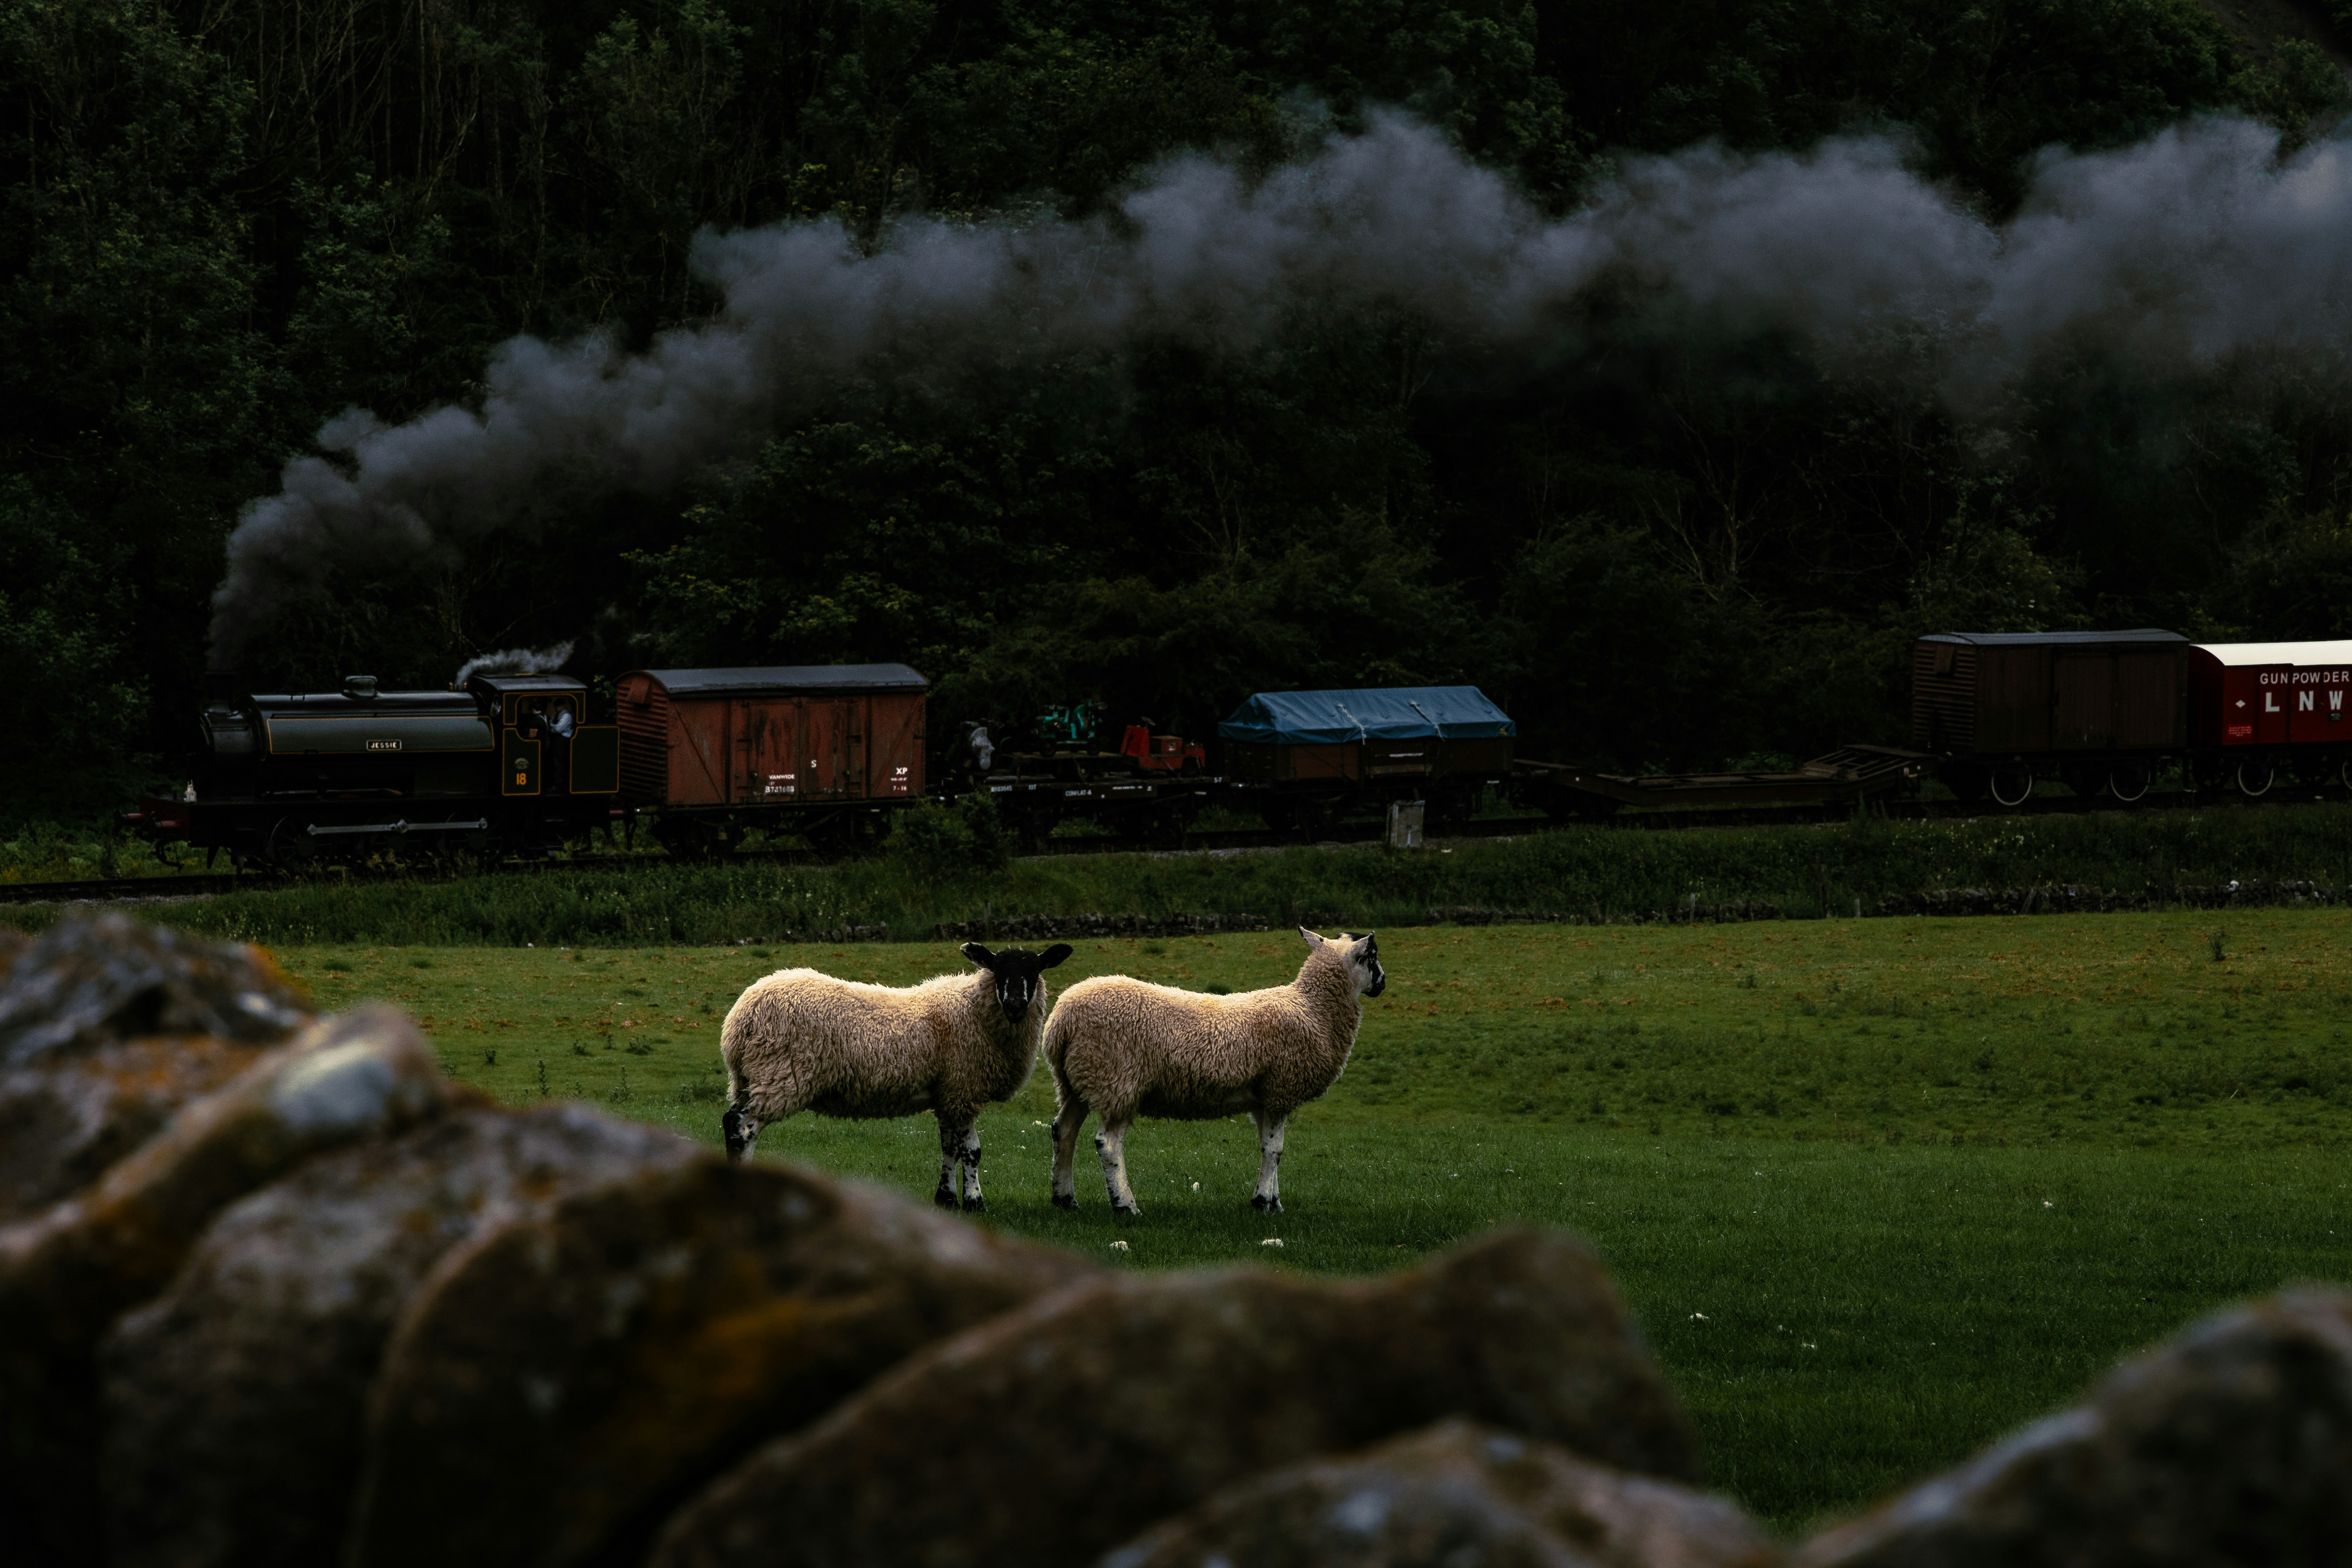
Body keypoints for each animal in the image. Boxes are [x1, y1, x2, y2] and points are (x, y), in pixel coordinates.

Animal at [719, 941, 1072, 1211]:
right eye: (998, 971)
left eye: (1035, 971)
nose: (1016, 1004)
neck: (975, 1011)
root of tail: (739, 1019)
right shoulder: (963, 1089)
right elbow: (971, 1152)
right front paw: (975, 1202)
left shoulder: (946, 1094)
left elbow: (949, 1148)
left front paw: (947, 1199)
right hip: (779, 1076)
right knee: (743, 1128)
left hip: (750, 1079)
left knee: (731, 1121)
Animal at [1041, 927, 1385, 1215]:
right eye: (1372, 956)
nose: (1382, 983)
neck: (1313, 1009)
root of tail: (1062, 1019)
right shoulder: (1281, 1089)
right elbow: (1276, 1150)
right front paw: (1264, 1202)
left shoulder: (1264, 1099)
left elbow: (1267, 1147)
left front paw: (1273, 1201)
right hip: (1117, 1080)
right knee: (1108, 1145)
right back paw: (1126, 1205)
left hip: (1076, 1080)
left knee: (1064, 1131)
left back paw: (1064, 1198)